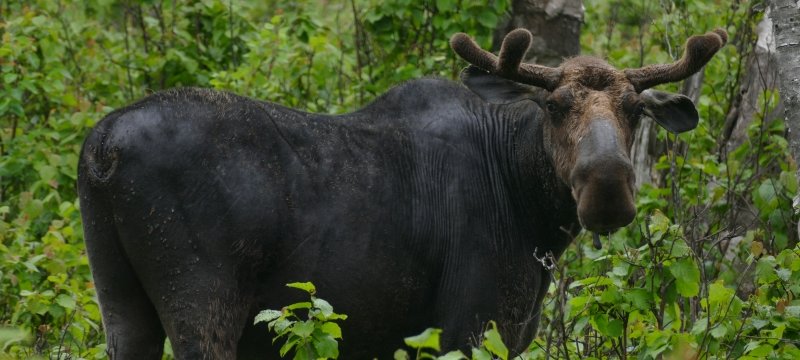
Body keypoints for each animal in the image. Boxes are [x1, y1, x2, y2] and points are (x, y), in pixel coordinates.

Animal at [79, 27, 724, 358]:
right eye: (554, 106)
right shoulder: (471, 320)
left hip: (120, 301)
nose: (607, 189)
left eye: (635, 110)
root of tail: (102, 150)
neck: (531, 211)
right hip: (204, 303)